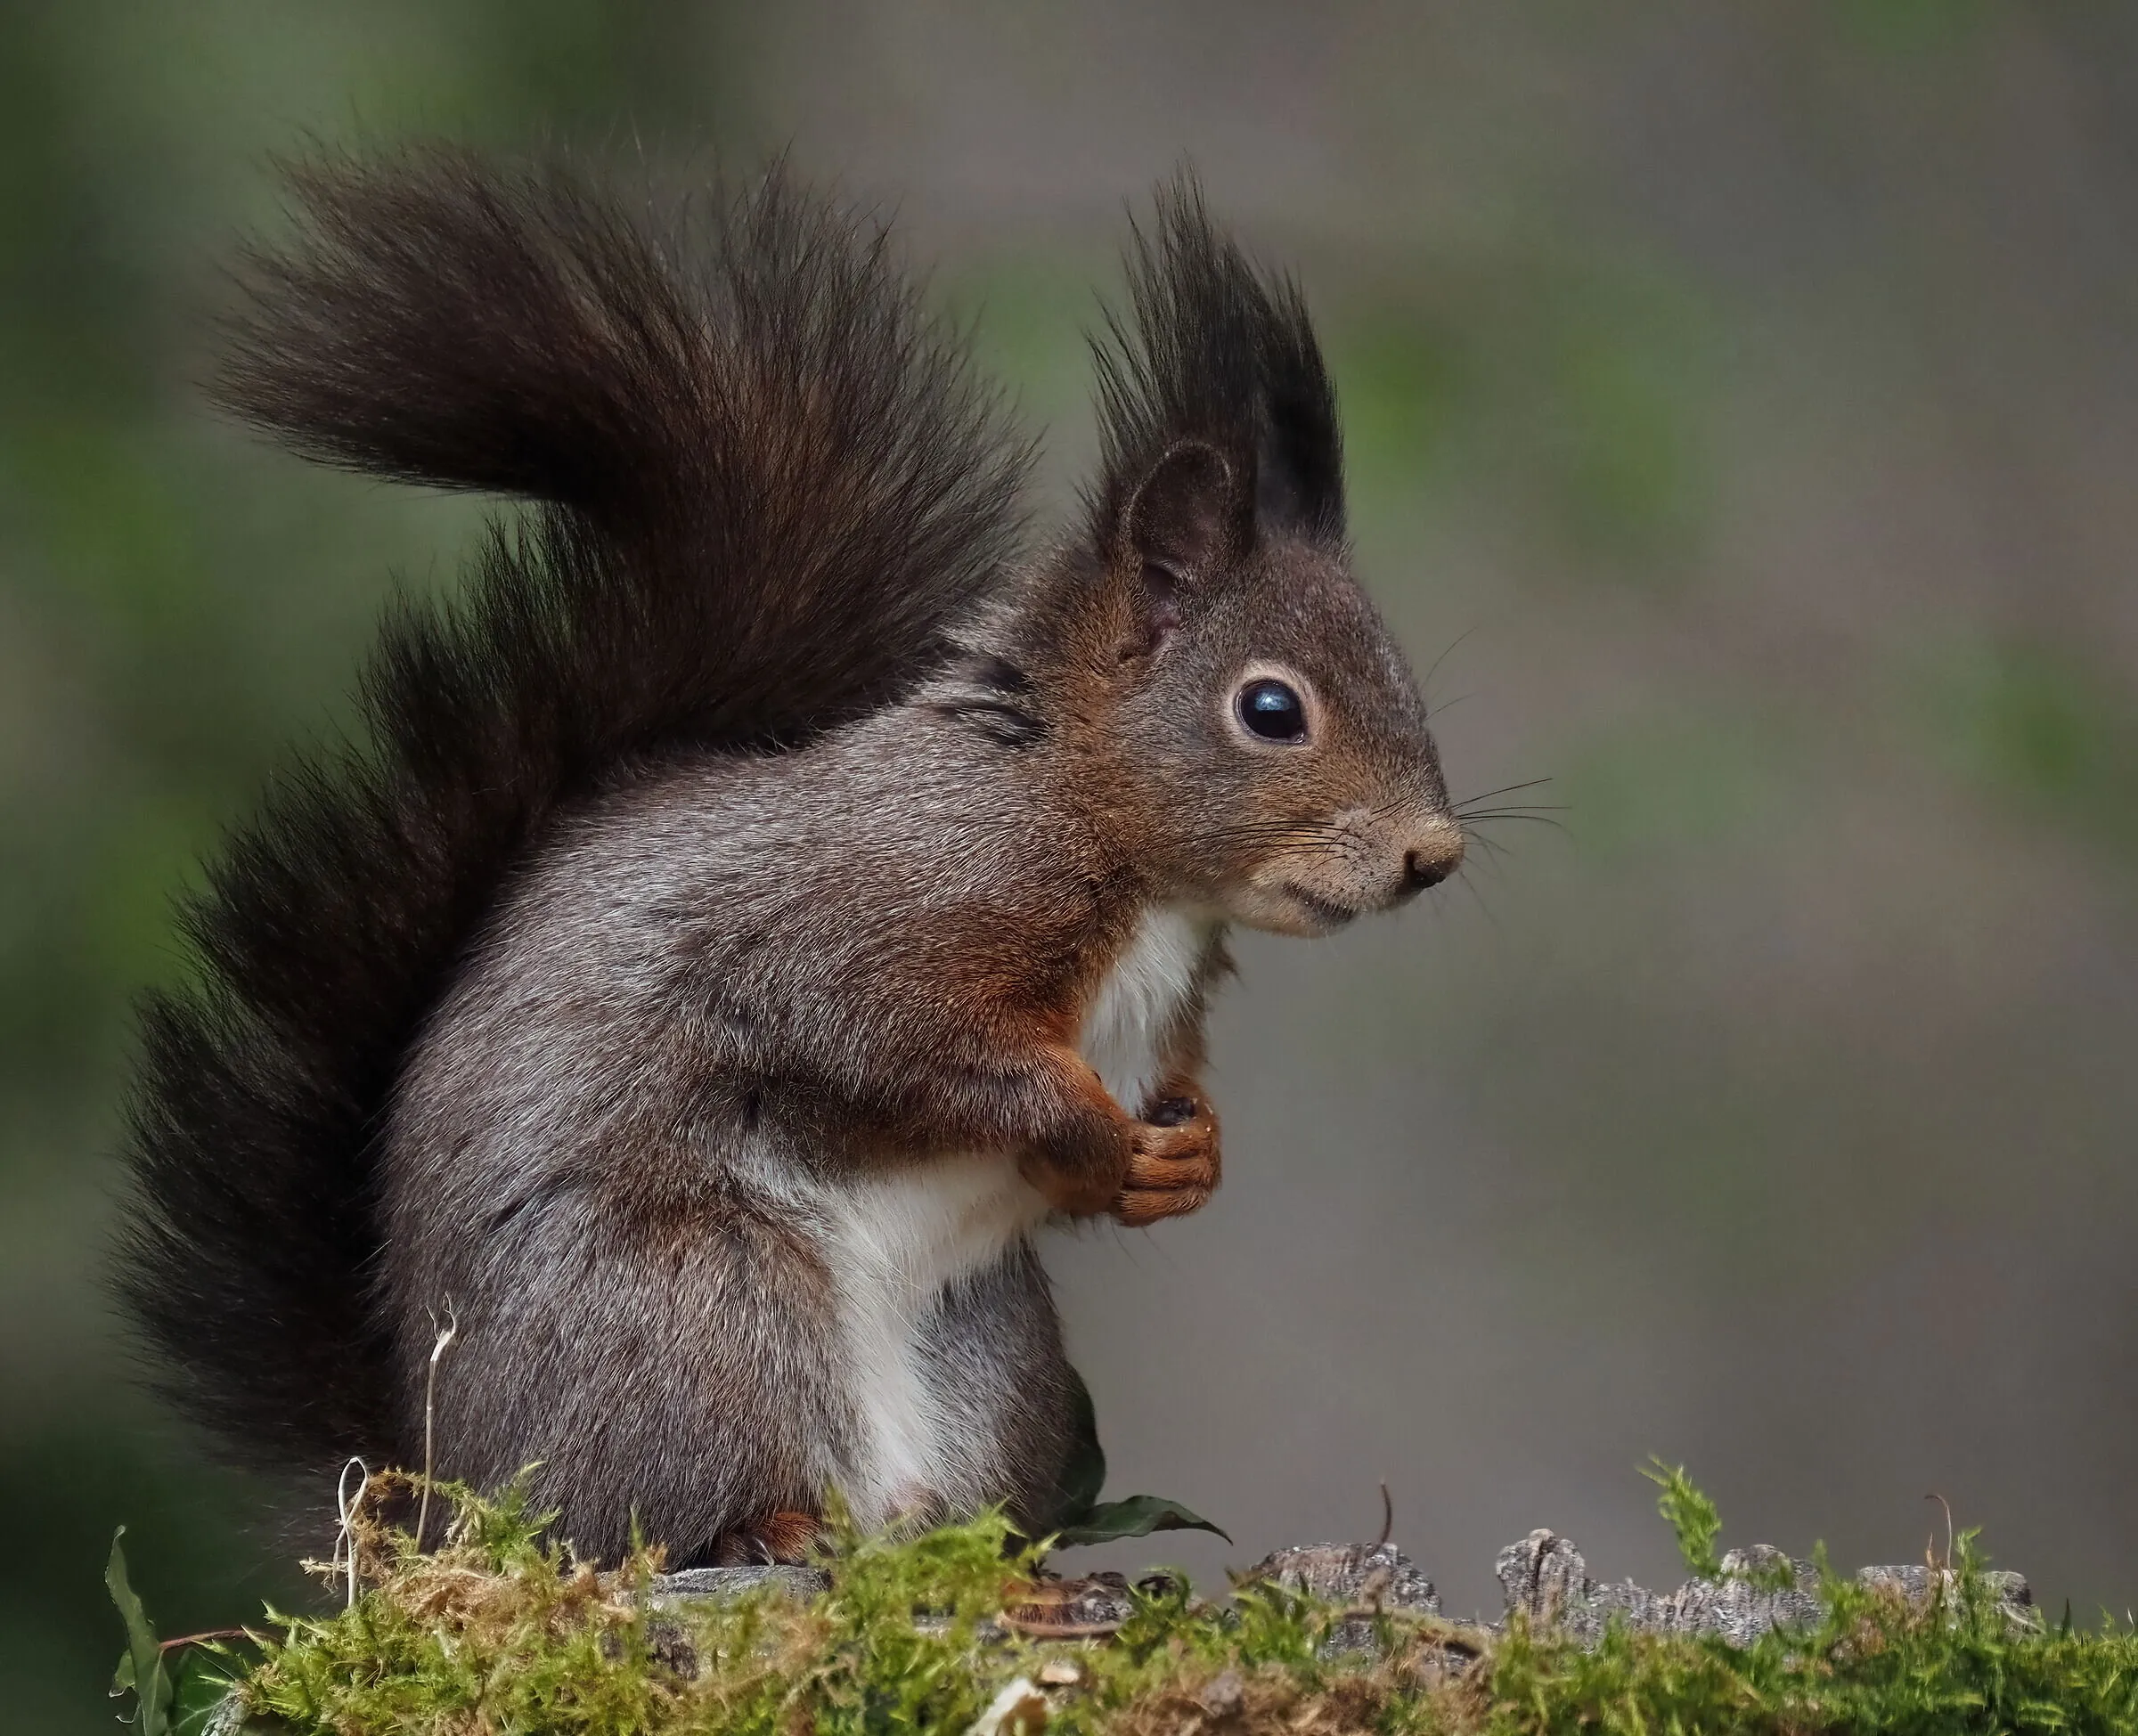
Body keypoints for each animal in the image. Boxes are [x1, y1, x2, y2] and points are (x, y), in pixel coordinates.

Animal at [117, 148, 1465, 1569]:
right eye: (1270, 709)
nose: (1434, 853)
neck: (1116, 853)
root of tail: (449, 1485)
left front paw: (1186, 1156)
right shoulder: (880, 908)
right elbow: (887, 1038)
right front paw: (1087, 1126)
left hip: (988, 1349)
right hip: (694, 1304)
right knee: (660, 1516)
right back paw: (770, 1526)